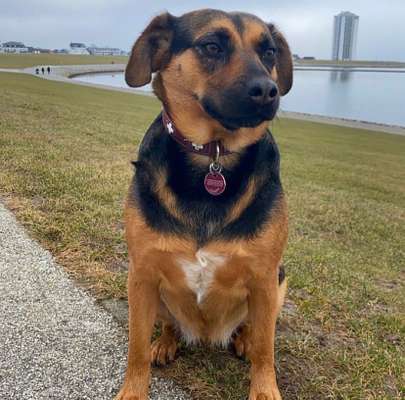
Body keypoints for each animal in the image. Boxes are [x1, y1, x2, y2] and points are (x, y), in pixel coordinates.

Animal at [115, 7, 292, 400]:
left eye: (269, 52)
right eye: (211, 46)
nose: (267, 91)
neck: (213, 156)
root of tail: (207, 336)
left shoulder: (264, 278)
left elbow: (266, 351)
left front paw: (264, 389)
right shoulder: (142, 274)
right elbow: (136, 349)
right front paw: (134, 388)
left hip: (279, 283)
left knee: (254, 330)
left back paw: (242, 340)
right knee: (169, 326)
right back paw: (166, 342)